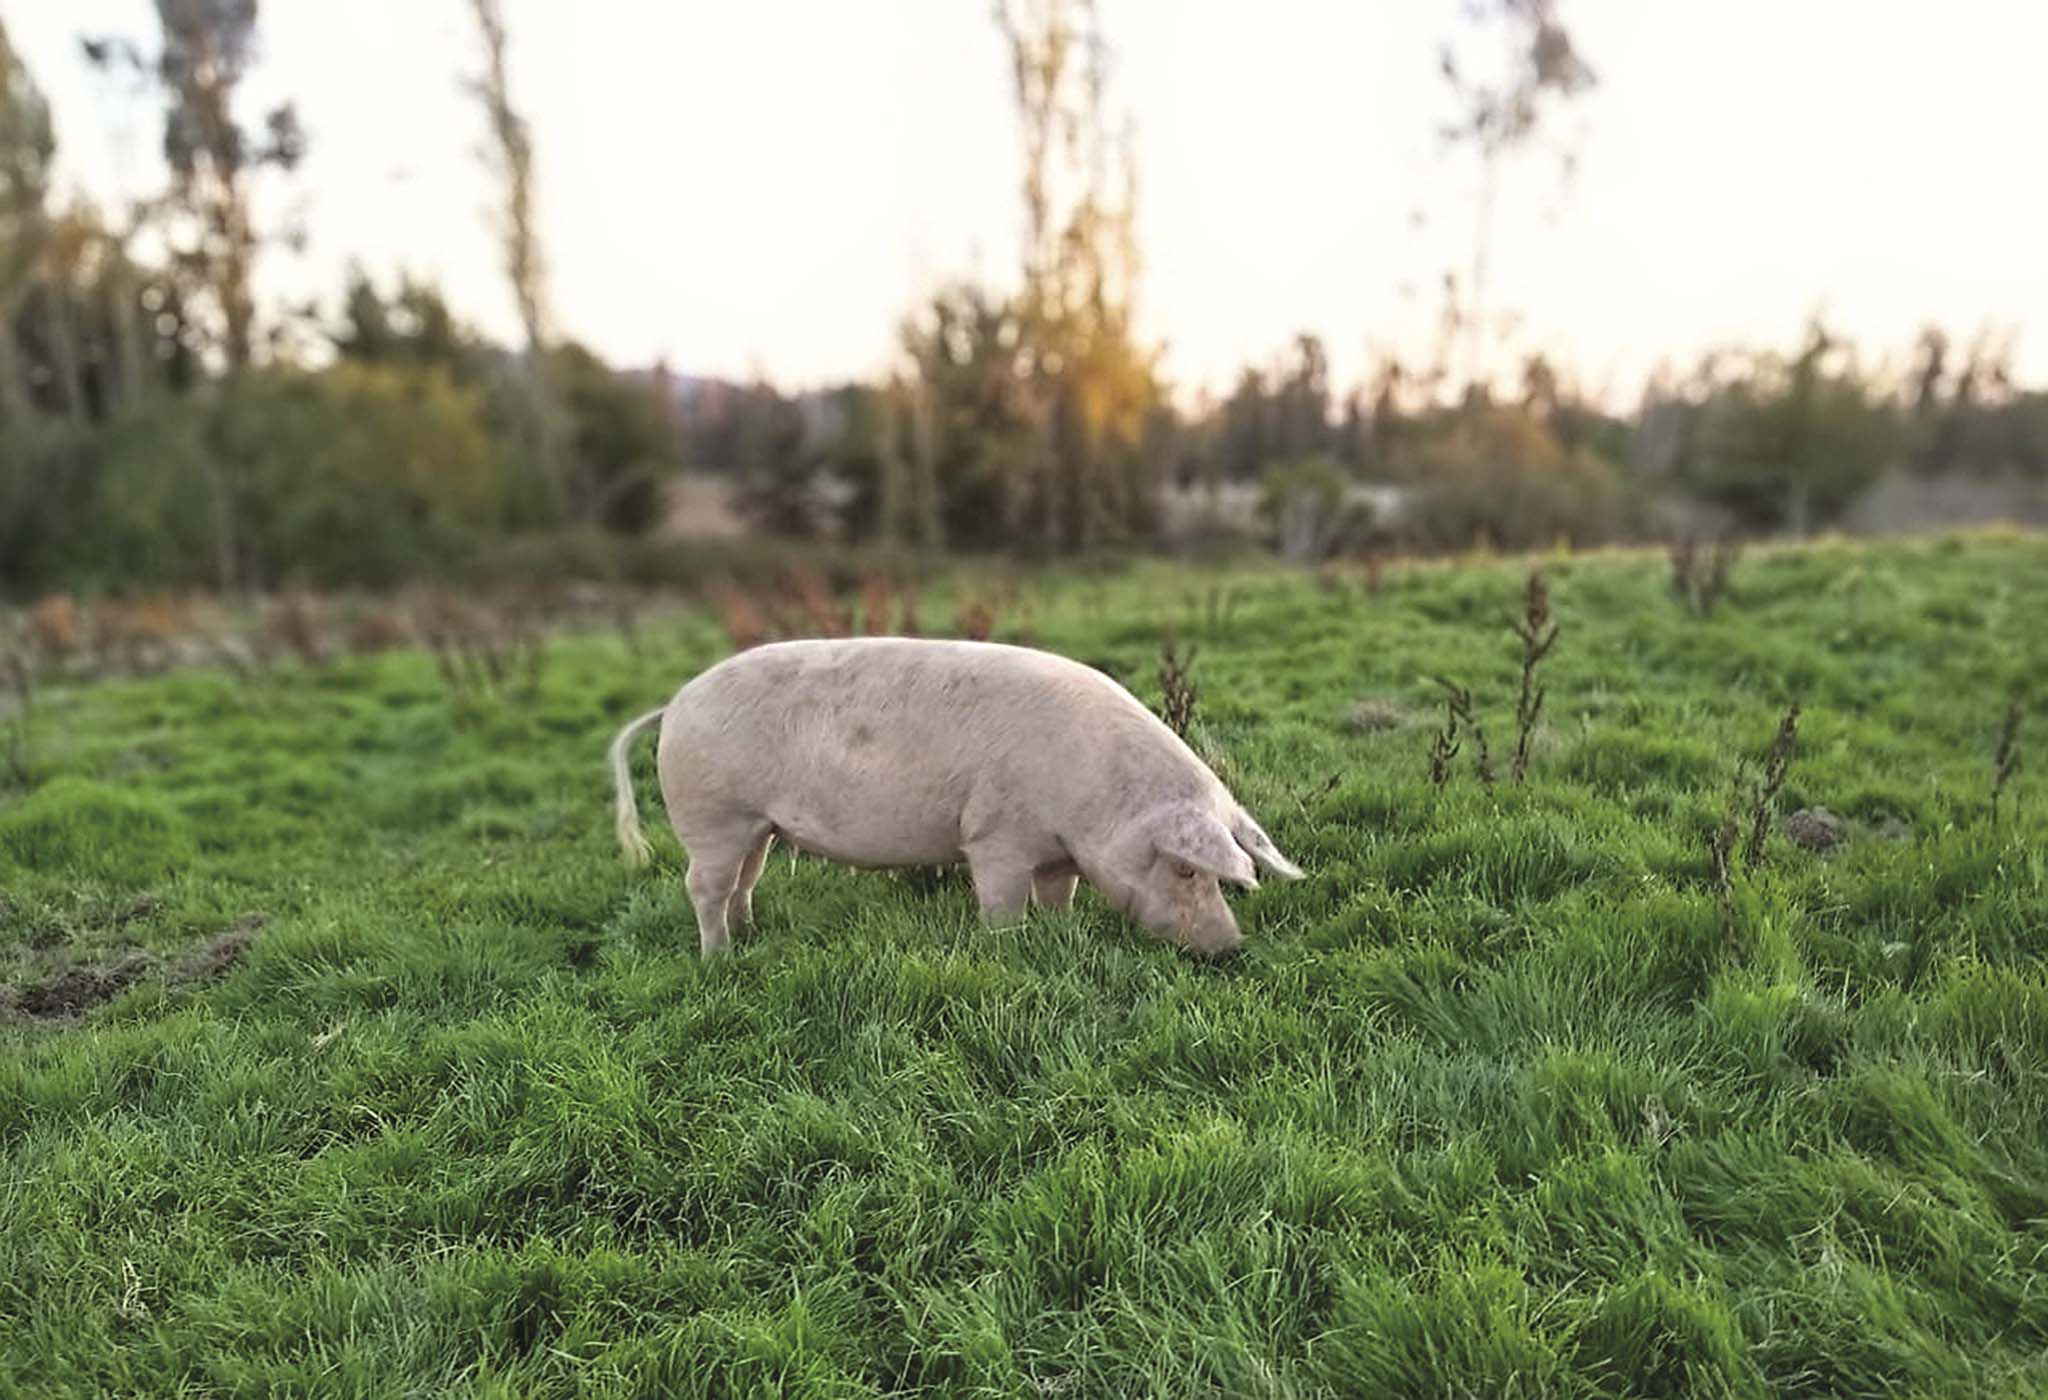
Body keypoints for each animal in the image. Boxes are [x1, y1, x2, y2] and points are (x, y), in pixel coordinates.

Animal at [610, 638, 1310, 957]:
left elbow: (1059, 895)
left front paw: (1059, 933)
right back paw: (718, 958)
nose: (1232, 945)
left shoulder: (1057, 850)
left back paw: (751, 934)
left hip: (757, 824)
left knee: (744, 882)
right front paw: (1006, 946)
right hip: (712, 816)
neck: (1096, 799)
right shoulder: (996, 836)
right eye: (1188, 870)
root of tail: (674, 705)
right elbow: (1002, 903)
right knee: (703, 887)